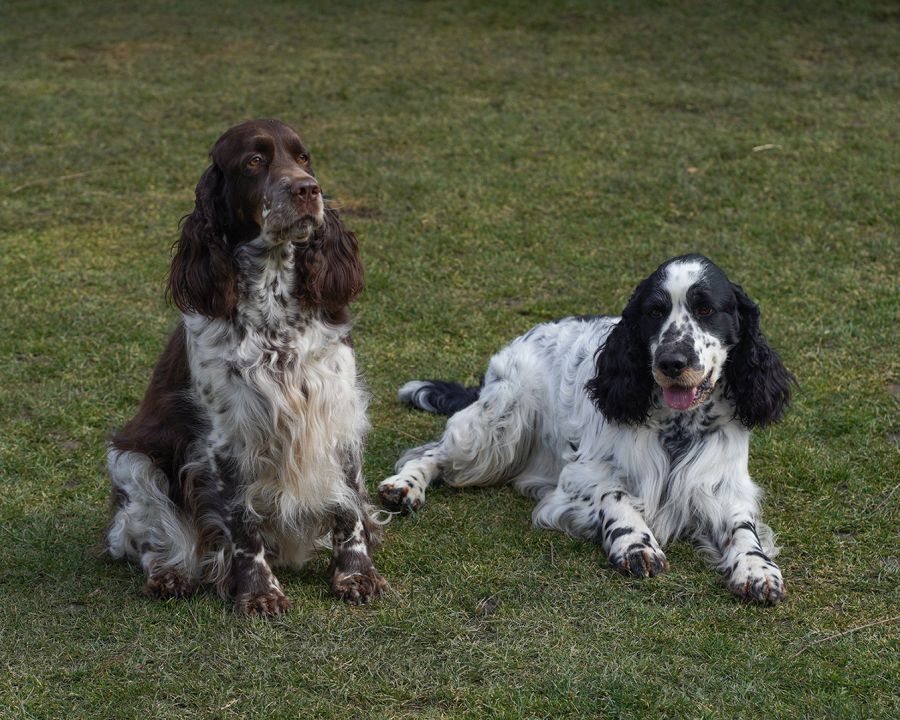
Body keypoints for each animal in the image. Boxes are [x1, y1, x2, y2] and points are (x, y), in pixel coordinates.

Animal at [106, 118, 386, 612]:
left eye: (303, 157)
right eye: (254, 161)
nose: (307, 189)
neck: (274, 309)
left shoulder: (337, 413)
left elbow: (350, 505)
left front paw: (356, 574)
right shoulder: (226, 437)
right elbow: (241, 521)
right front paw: (258, 591)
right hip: (132, 463)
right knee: (146, 535)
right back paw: (171, 573)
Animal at [380, 256, 796, 604]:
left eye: (706, 308)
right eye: (654, 311)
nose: (671, 362)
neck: (678, 424)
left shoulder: (723, 487)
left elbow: (743, 529)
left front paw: (757, 569)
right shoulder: (578, 478)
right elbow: (615, 496)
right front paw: (636, 545)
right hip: (500, 425)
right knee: (431, 451)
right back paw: (403, 486)